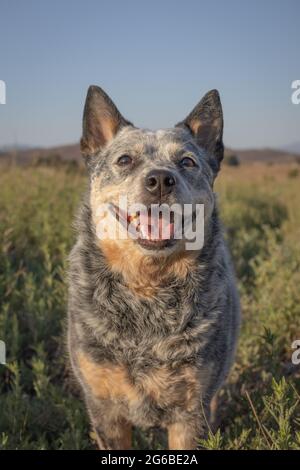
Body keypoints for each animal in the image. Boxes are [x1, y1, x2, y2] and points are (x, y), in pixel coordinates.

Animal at [67, 86, 240, 450]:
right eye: (124, 160)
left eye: (187, 161)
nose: (160, 179)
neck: (148, 290)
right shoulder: (103, 408)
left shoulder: (191, 411)